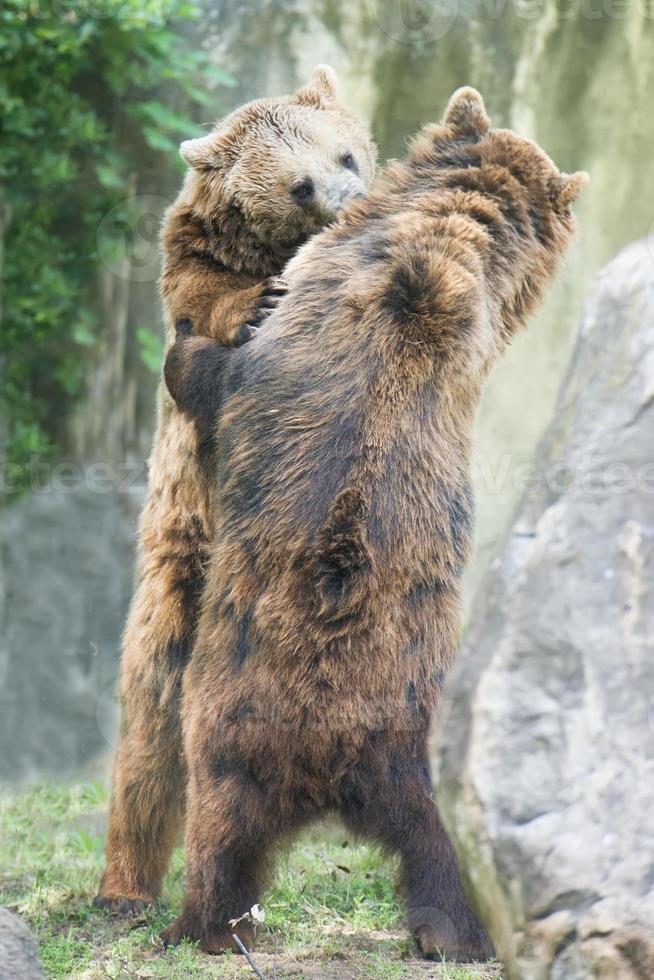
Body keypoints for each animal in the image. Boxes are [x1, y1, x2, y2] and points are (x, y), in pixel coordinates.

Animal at [94, 65, 376, 916]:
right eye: (298, 184)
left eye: (346, 153)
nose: (348, 203)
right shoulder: (192, 263)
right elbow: (206, 297)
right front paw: (259, 306)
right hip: (175, 576)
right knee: (151, 728)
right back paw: (125, 886)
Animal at [160, 88, 588, 960]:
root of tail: (335, 753)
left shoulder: (298, 319)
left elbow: (216, 375)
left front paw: (184, 351)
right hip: (333, 743)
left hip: (265, 720)